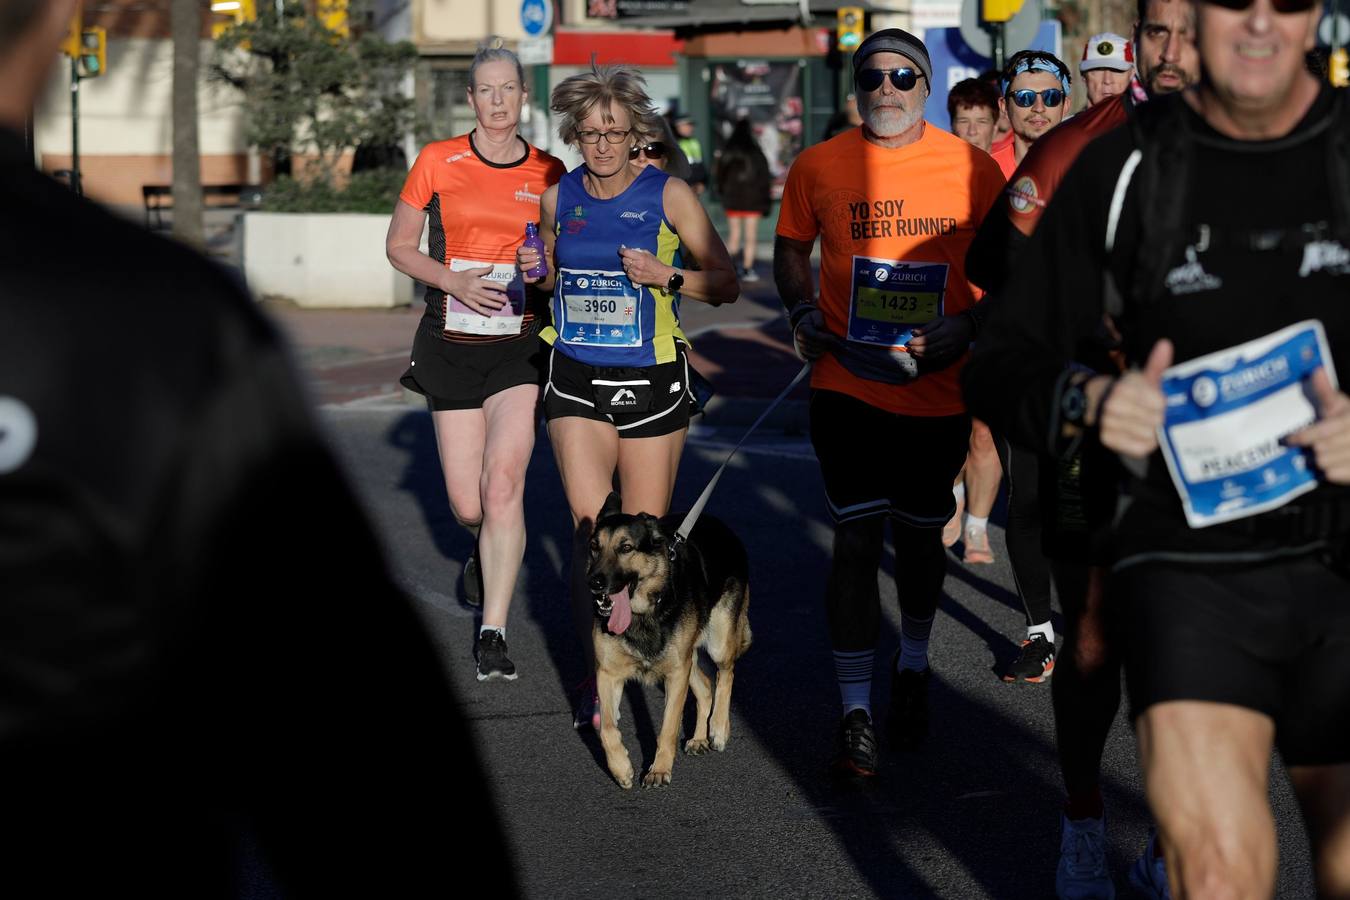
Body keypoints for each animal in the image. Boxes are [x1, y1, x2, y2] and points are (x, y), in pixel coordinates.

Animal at [588, 493, 756, 788]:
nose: (594, 583)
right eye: (595, 547)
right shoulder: (609, 674)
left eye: (626, 547)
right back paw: (699, 738)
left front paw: (659, 770)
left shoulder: (676, 674)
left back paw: (718, 728)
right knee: (705, 686)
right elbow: (607, 728)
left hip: (717, 642)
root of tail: (720, 525)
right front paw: (621, 768)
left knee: (726, 674)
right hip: (686, 659)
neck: (644, 613)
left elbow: (667, 727)